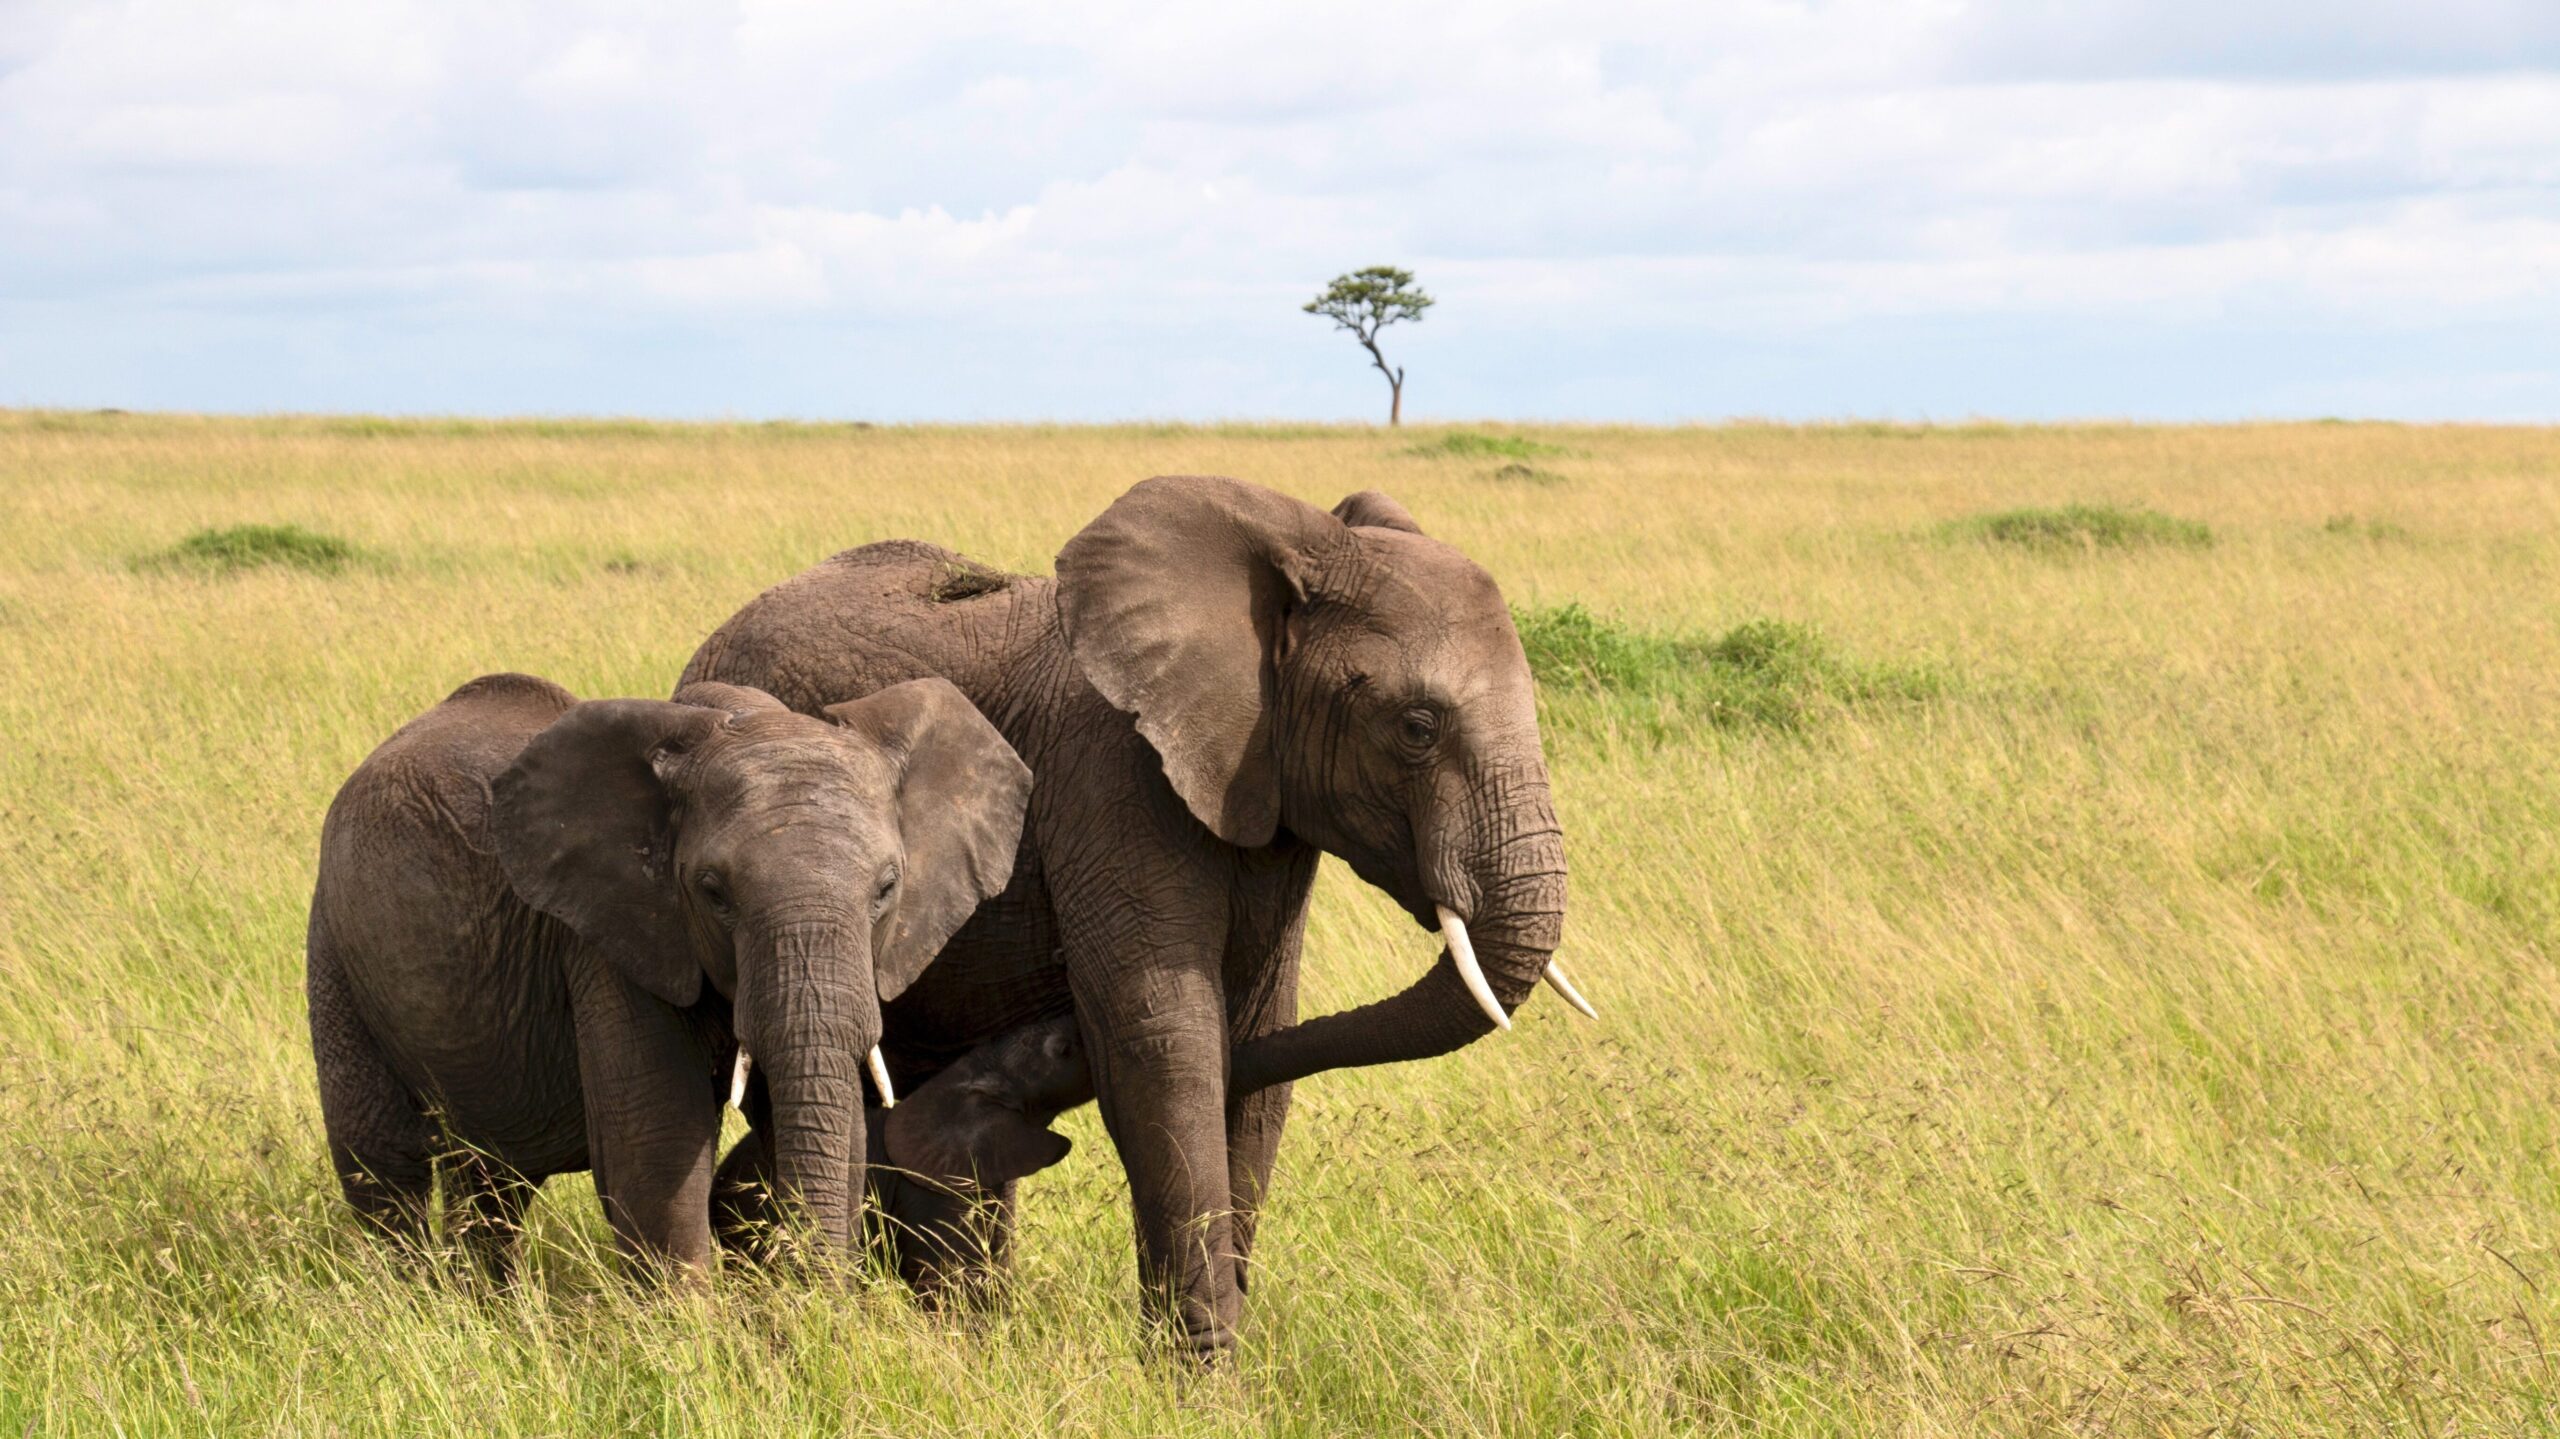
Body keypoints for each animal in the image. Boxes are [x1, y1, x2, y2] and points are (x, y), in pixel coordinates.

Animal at [304, 672, 1031, 1278]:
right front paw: (693, 1340)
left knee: (487, 1178)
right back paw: (413, 1301)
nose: (824, 1305)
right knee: (384, 1164)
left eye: (886, 888)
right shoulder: (608, 939)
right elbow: (657, 1146)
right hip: (333, 945)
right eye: (713, 892)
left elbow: (826, 1123)